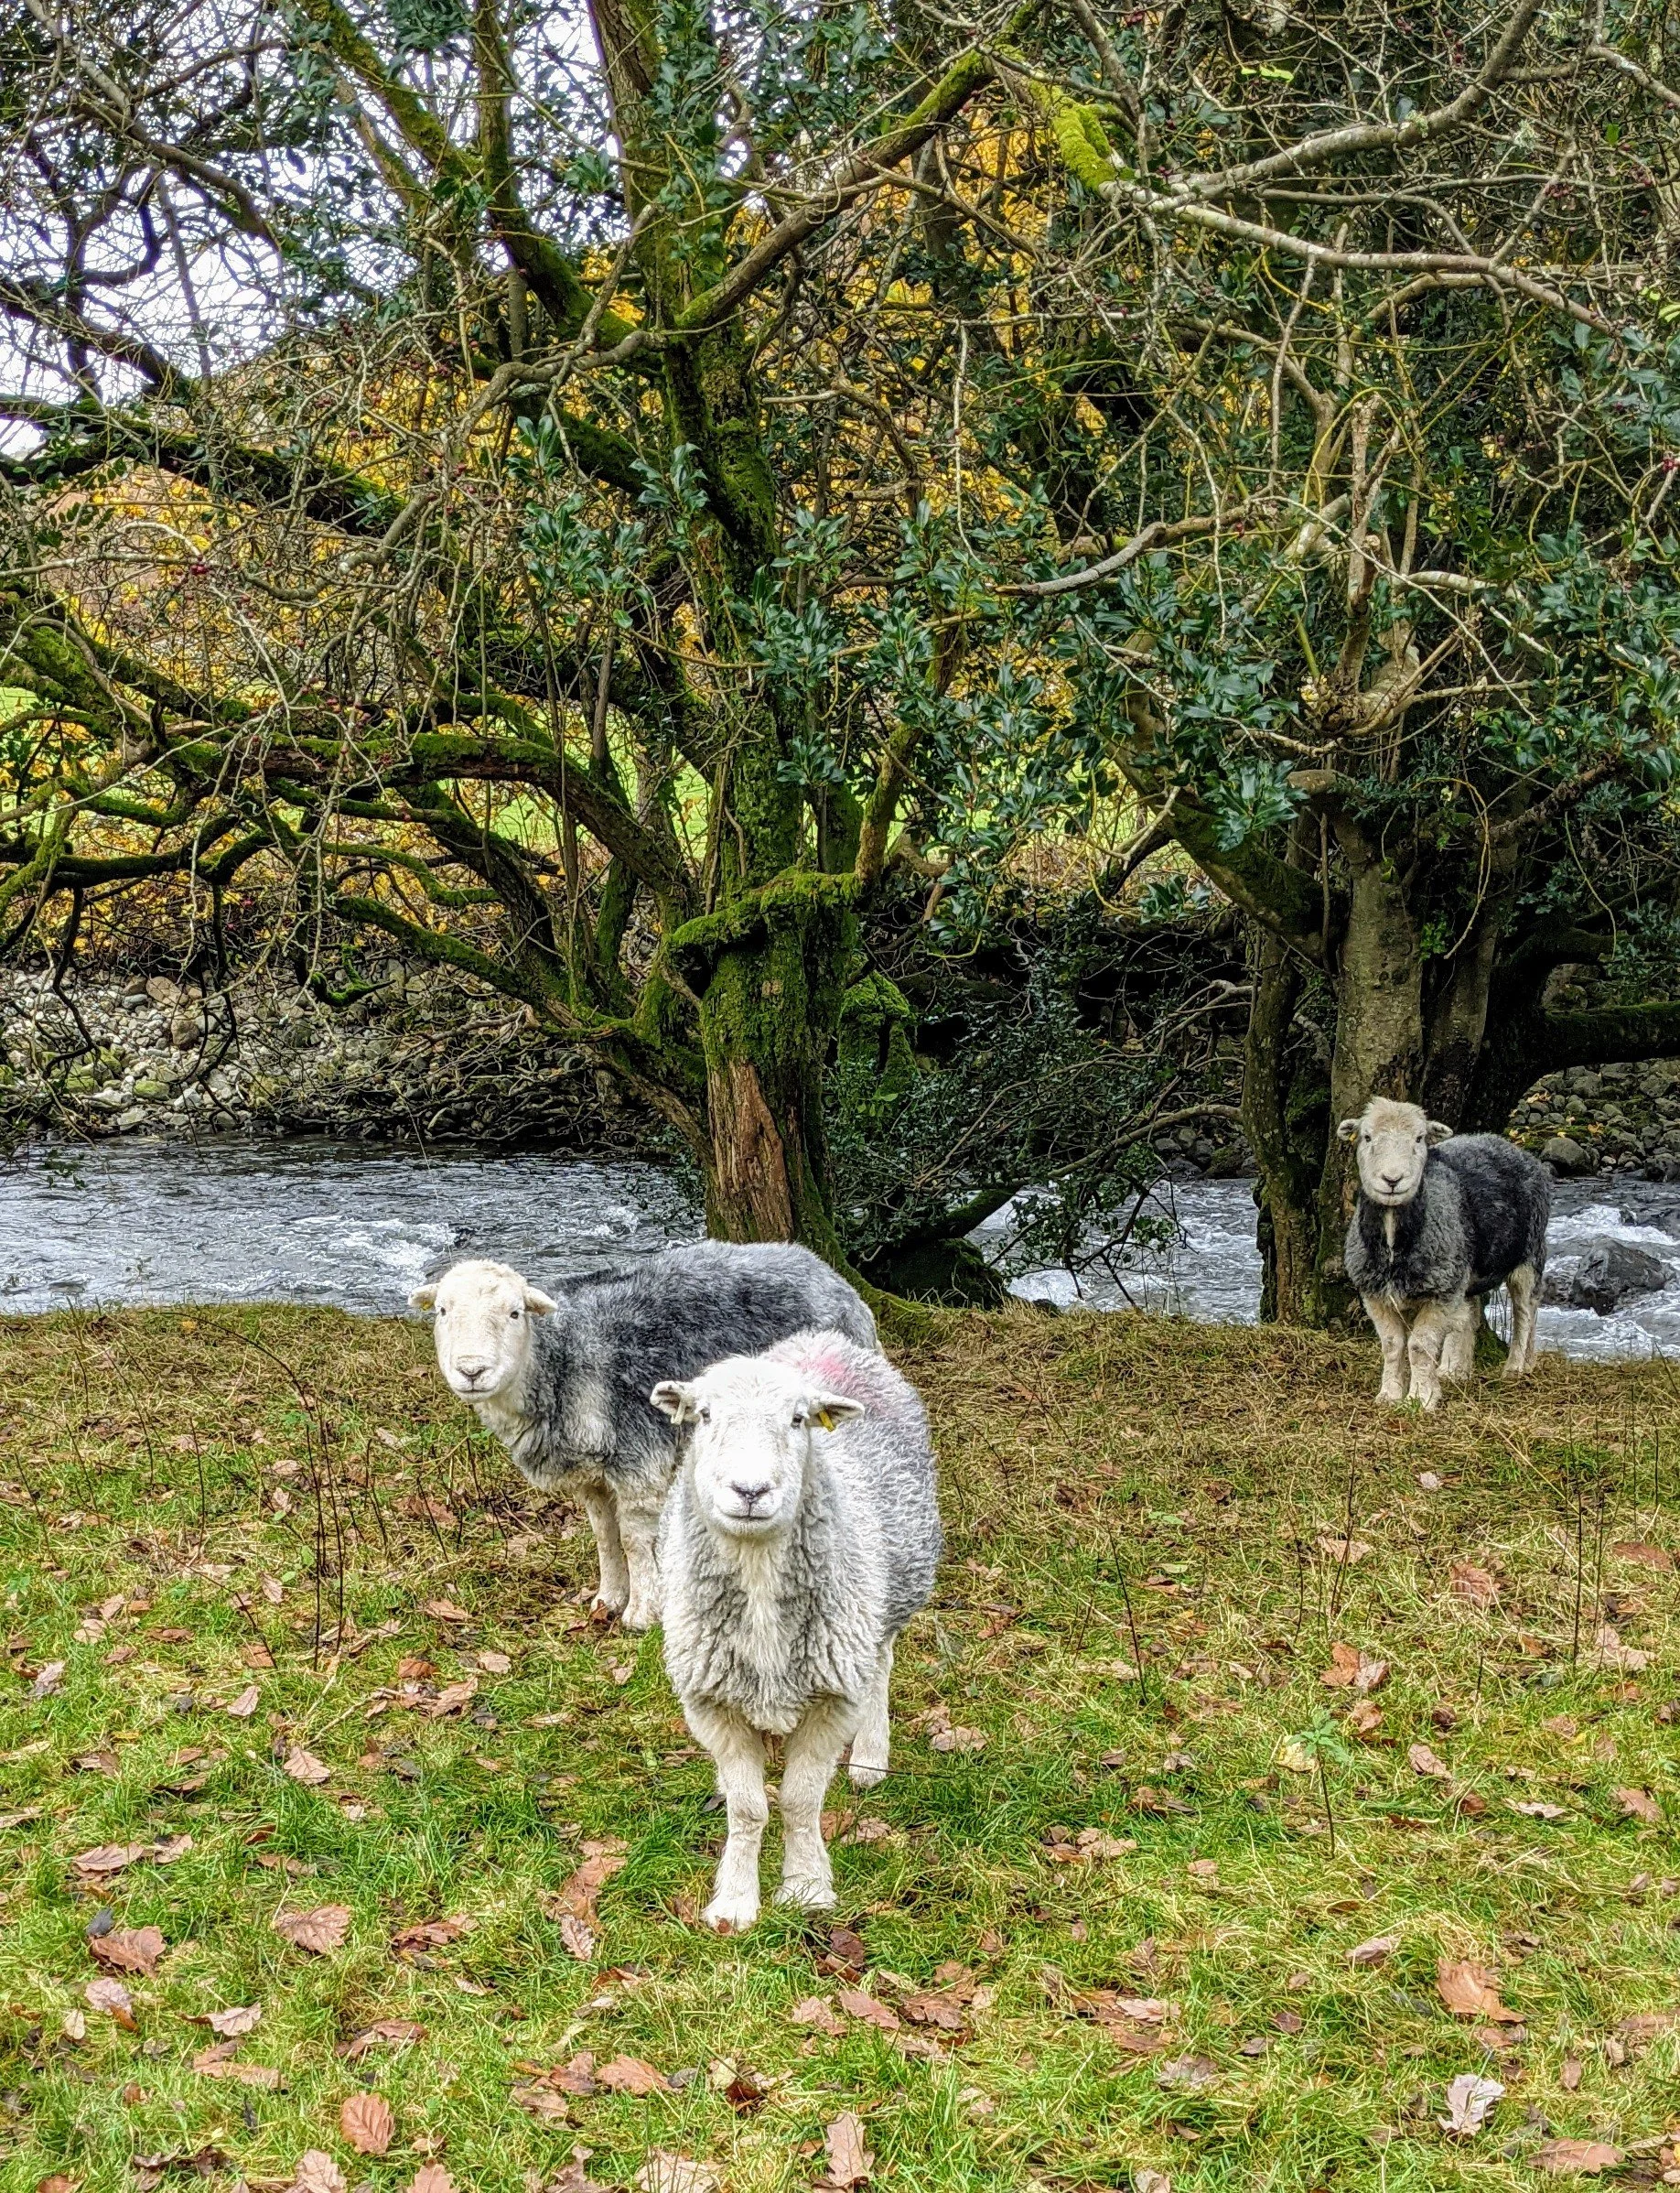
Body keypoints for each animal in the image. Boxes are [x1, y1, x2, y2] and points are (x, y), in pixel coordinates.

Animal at [411, 1244, 878, 1631]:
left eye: (515, 1313)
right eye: (442, 1311)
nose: (472, 1370)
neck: (562, 1362)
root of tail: (829, 1274)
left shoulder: (637, 1461)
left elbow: (635, 1540)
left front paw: (640, 1613)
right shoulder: (590, 1475)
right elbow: (604, 1535)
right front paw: (608, 1599)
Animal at [650, 1329, 941, 1931]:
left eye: (798, 1420)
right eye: (704, 1415)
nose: (750, 1490)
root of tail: (823, 1339)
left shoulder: (832, 1697)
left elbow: (800, 1800)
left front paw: (806, 1887)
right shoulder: (712, 1702)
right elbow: (749, 1807)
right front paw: (735, 1899)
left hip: (884, 1600)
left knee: (882, 1664)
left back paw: (870, 1757)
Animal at [1339, 1096, 1550, 1410]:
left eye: (1419, 1138)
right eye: (1367, 1137)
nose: (1392, 1179)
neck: (1393, 1244)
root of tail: (1507, 1145)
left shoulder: (1440, 1292)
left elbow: (1419, 1346)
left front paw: (1421, 1399)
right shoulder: (1374, 1293)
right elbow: (1392, 1345)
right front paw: (1389, 1395)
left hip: (1529, 1253)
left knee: (1526, 1311)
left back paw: (1515, 1366)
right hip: (1463, 1265)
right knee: (1470, 1314)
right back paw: (1456, 1369)